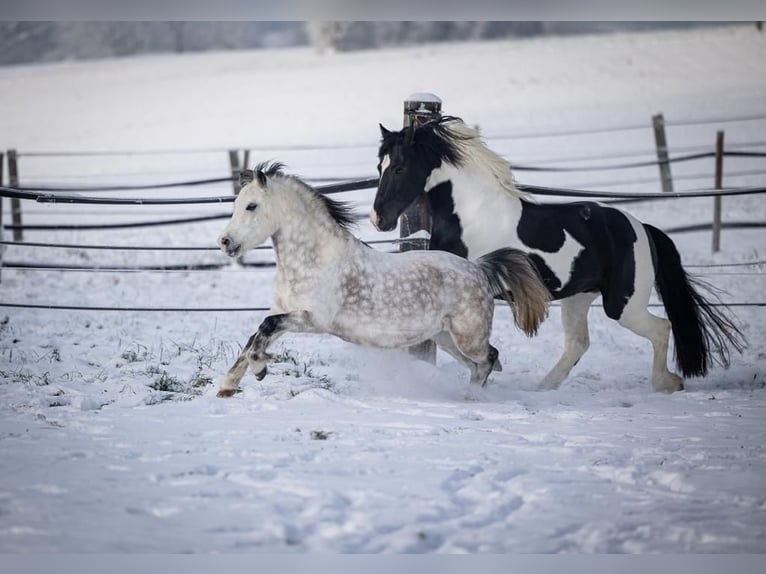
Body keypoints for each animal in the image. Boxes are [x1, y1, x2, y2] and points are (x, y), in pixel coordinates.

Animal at [216, 160, 552, 398]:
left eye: (251, 206)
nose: (225, 241)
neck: (312, 261)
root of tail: (480, 270)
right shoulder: (284, 311)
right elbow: (253, 337)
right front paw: (228, 386)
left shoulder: (315, 319)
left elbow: (264, 329)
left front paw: (260, 369)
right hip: (446, 337)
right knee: (482, 363)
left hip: (468, 336)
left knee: (489, 358)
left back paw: (472, 399)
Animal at [372, 118, 744, 396]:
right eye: (380, 166)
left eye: (400, 168)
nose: (379, 219)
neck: (469, 216)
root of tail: (641, 228)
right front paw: (490, 364)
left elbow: (442, 337)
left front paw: (487, 366)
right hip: (578, 298)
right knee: (579, 343)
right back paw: (542, 387)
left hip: (623, 304)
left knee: (661, 328)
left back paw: (667, 383)